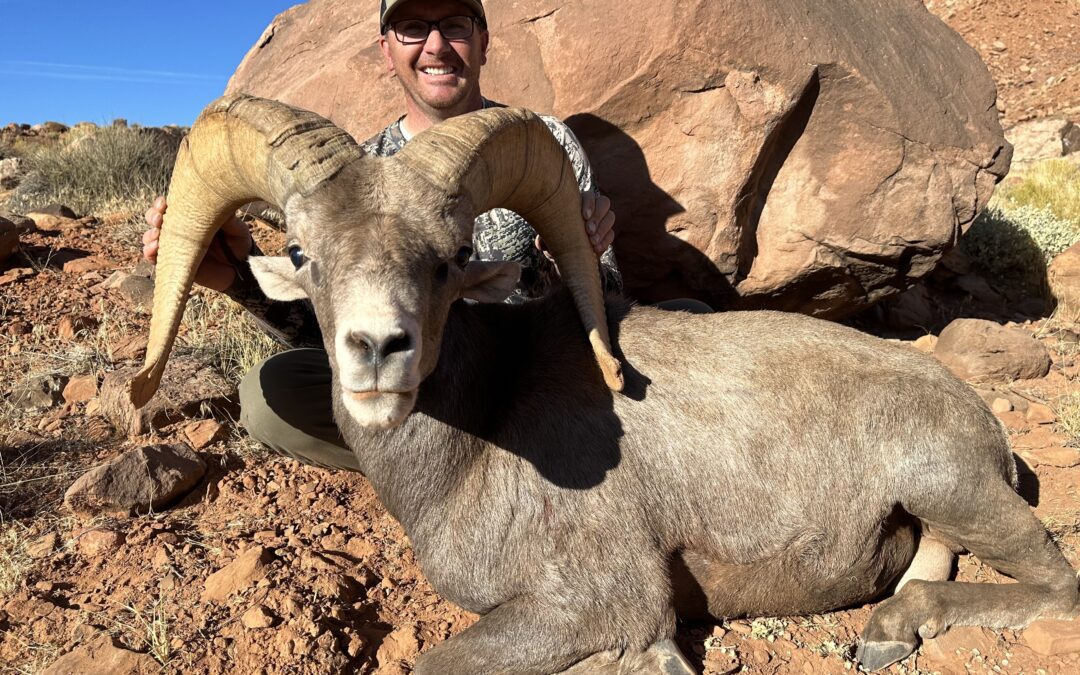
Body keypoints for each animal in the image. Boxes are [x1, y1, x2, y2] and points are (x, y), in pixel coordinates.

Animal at [130, 94, 1078, 674]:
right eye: (302, 254)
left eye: (452, 257)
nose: (376, 350)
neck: (475, 448)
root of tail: (982, 422)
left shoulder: (589, 601)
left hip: (952, 486)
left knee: (1054, 583)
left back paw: (887, 630)